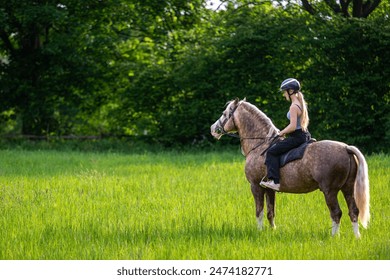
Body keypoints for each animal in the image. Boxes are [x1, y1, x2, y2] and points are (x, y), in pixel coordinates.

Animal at [212, 98, 370, 238]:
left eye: (225, 113)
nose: (213, 129)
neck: (260, 145)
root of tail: (345, 148)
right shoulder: (269, 189)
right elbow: (270, 212)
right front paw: (272, 231)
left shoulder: (256, 186)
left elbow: (259, 211)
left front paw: (259, 231)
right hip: (347, 188)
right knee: (353, 211)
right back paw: (357, 237)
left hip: (330, 191)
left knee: (336, 213)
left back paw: (334, 237)